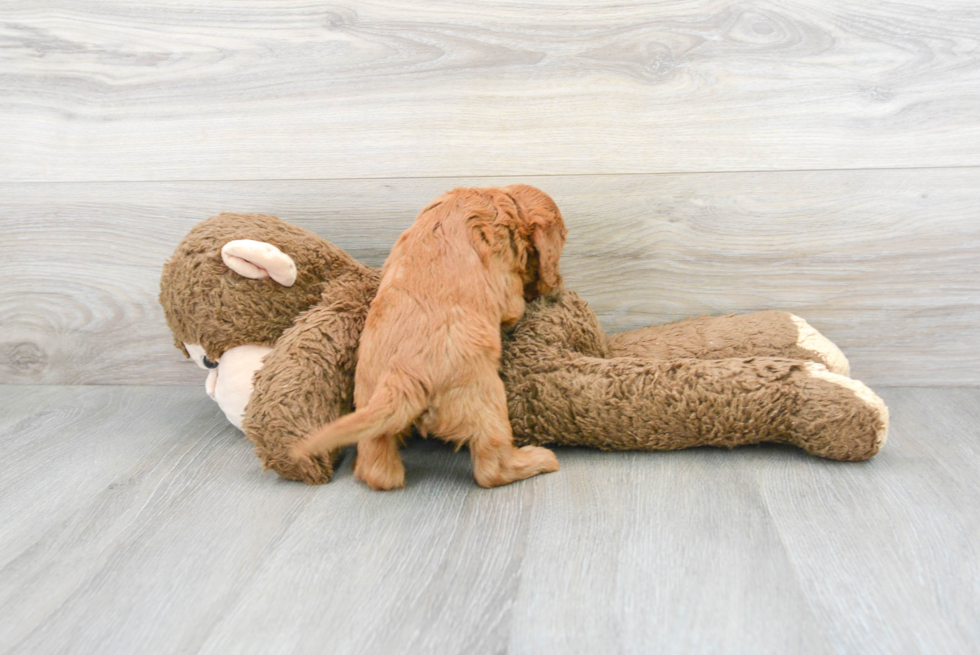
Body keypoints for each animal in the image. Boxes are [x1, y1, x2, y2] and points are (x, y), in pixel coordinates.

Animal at [290, 184, 568, 486]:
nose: (556, 284)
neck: (498, 198)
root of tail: (400, 377)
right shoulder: (506, 282)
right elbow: (514, 304)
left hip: (367, 398)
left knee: (378, 469)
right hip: (485, 398)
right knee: (492, 467)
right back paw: (538, 460)